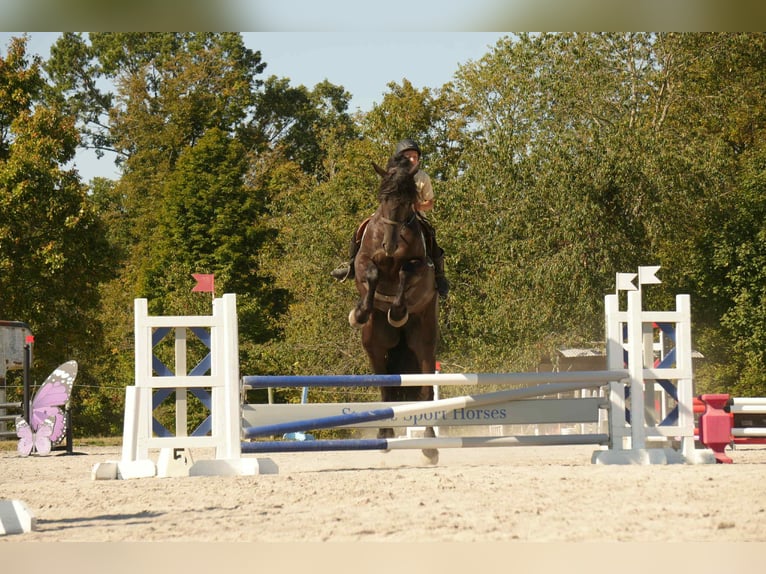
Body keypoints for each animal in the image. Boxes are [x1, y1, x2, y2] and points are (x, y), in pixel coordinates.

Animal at [348, 153, 440, 464]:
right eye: (383, 197)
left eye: (406, 200)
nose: (389, 245)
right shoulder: (363, 260)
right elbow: (371, 273)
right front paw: (360, 312)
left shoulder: (419, 265)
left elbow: (405, 273)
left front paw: (398, 312)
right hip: (375, 344)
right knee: (386, 387)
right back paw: (384, 434)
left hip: (424, 342)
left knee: (425, 391)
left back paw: (430, 447)